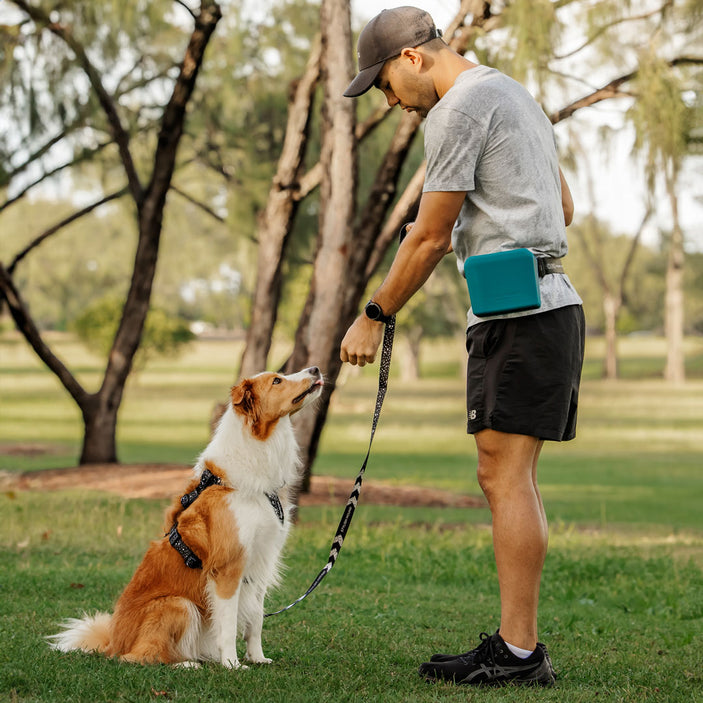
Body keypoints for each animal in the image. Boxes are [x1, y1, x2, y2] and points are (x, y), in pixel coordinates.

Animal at [48, 366, 324, 668]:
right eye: (277, 380)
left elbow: (255, 621)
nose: (315, 369)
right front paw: (232, 664)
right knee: (138, 656)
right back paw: (185, 663)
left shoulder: (260, 562)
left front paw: (257, 658)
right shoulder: (227, 568)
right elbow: (228, 626)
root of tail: (113, 642)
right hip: (178, 604)